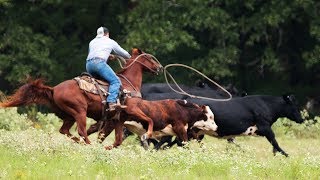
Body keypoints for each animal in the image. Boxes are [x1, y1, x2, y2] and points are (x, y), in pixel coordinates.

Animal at [0, 47, 162, 148]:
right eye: (149, 57)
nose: (160, 67)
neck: (129, 83)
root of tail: (54, 89)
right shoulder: (132, 109)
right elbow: (149, 120)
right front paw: (147, 134)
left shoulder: (118, 119)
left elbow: (117, 141)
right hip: (79, 112)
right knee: (81, 132)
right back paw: (88, 146)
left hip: (69, 116)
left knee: (65, 130)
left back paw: (81, 143)